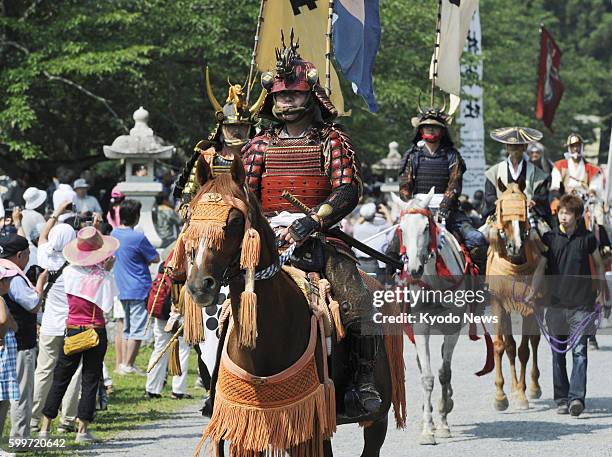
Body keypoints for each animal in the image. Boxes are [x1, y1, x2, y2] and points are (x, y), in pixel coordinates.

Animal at [185, 155, 406, 454]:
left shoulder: (312, 421)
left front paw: (301, 227)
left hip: (377, 415)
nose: (200, 285)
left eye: (234, 221)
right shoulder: (250, 420)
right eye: (189, 216)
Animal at [392, 189, 478, 446]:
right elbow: (427, 376)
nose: (414, 269)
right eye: (401, 229)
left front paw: (442, 423)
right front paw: (427, 430)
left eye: (425, 228)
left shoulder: (452, 328)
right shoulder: (420, 327)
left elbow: (444, 373)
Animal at [486, 180, 548, 412]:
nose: (516, 247)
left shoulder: (531, 306)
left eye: (524, 212)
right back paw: (512, 387)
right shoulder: (498, 302)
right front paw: (500, 395)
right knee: (510, 345)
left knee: (534, 342)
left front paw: (522, 394)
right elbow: (501, 346)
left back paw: (532, 387)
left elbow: (524, 350)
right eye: (502, 213)